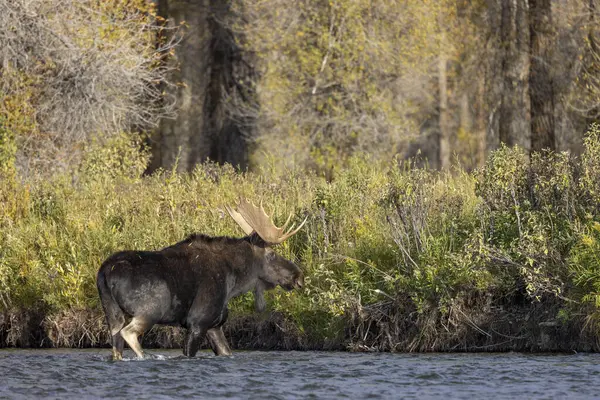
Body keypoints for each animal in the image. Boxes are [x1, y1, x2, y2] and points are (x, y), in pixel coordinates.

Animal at [98, 199, 308, 360]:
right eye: (271, 254)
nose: (299, 277)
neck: (234, 281)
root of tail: (107, 273)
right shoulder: (198, 322)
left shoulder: (215, 325)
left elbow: (226, 352)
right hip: (150, 310)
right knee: (129, 333)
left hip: (112, 313)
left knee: (116, 344)